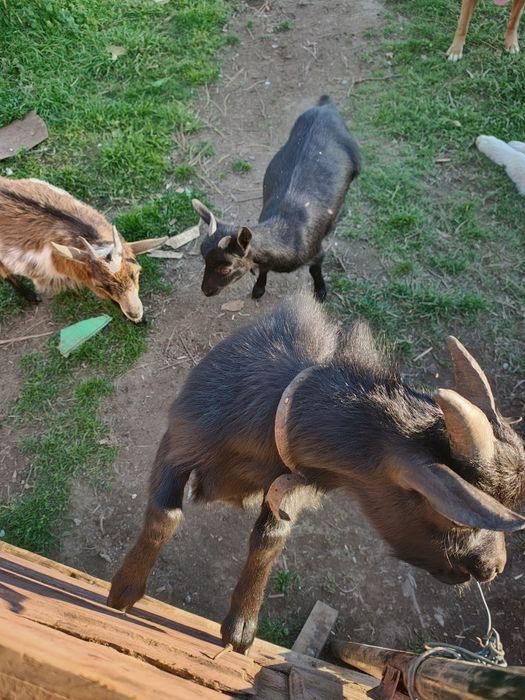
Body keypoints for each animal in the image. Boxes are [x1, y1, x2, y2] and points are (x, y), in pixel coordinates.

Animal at [108, 293, 525, 653]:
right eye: (453, 517)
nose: (495, 566)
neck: (278, 409)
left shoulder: (290, 488)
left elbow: (269, 539)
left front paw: (241, 628)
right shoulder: (179, 441)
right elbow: (165, 516)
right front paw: (124, 591)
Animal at [192, 95, 361, 301]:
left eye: (225, 269)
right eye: (204, 260)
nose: (206, 291)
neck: (286, 236)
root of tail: (326, 106)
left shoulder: (317, 252)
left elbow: (315, 269)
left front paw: (320, 291)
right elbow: (264, 269)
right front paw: (258, 288)